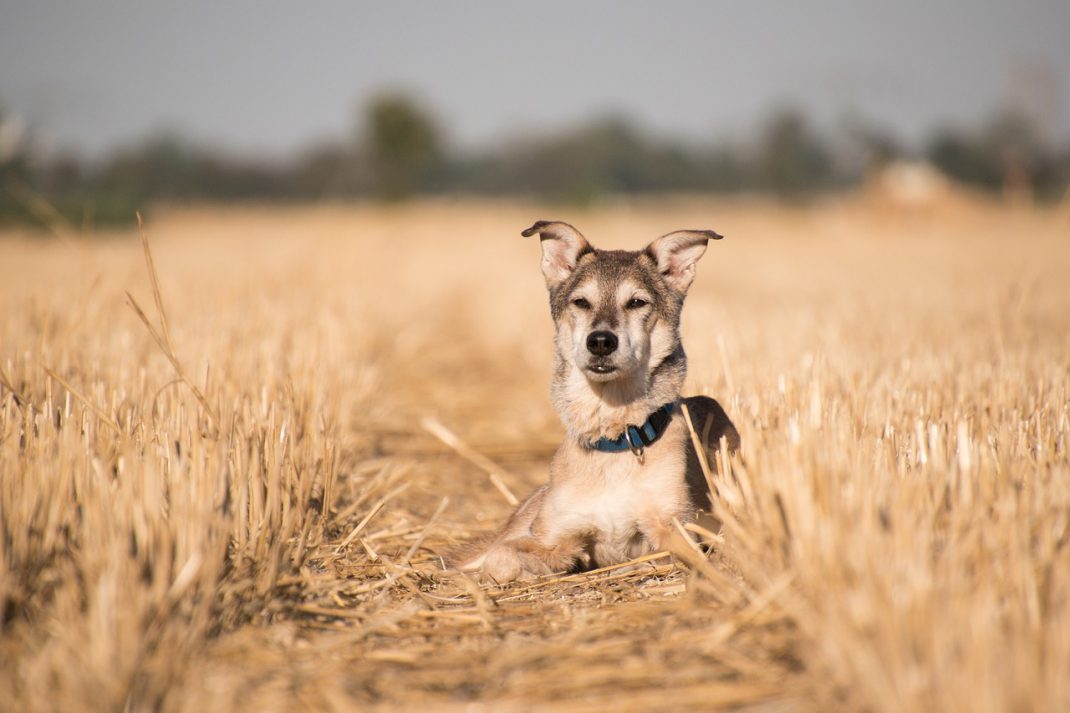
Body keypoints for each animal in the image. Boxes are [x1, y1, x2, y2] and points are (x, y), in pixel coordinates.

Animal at [455, 219, 740, 582]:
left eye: (637, 302)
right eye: (581, 302)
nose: (601, 342)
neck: (613, 440)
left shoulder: (676, 528)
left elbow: (671, 554)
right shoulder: (553, 532)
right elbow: (502, 559)